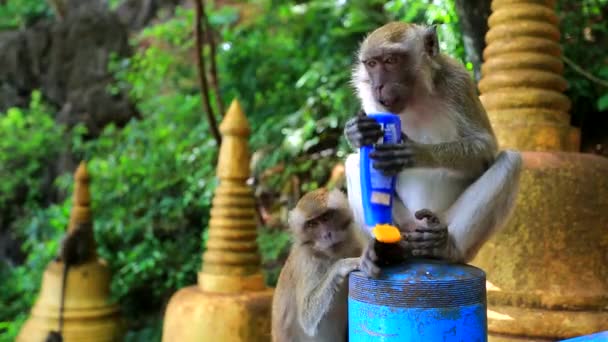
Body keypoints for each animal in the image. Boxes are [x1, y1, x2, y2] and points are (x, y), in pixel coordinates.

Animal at [272, 188, 380, 340]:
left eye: (326, 217)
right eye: (312, 224)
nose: (327, 235)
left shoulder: (356, 237)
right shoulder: (308, 262)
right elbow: (307, 317)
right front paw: (344, 264)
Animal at [342, 22, 524, 272]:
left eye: (390, 60)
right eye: (371, 64)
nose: (378, 86)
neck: (415, 97)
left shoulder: (458, 82)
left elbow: (485, 147)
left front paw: (414, 153)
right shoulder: (370, 100)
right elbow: (363, 151)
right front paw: (357, 131)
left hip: (442, 222)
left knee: (510, 161)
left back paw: (445, 249)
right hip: (405, 224)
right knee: (353, 163)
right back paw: (387, 250)